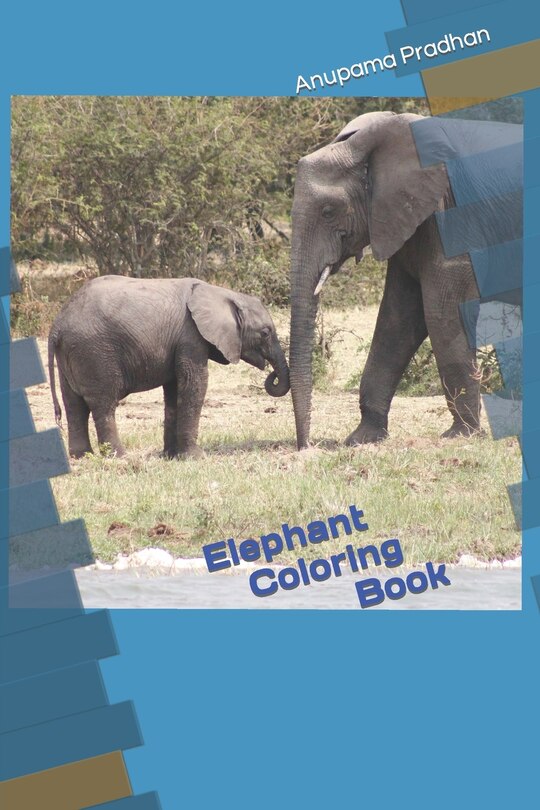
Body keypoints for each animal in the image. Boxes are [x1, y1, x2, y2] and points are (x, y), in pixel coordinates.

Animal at [48, 276, 290, 458]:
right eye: (265, 333)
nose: (272, 375)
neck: (221, 294)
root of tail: (57, 325)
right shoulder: (190, 337)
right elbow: (195, 383)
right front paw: (195, 457)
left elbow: (174, 391)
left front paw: (171, 456)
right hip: (95, 352)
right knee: (103, 404)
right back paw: (120, 457)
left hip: (72, 354)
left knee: (74, 405)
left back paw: (82, 456)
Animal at [289, 111, 522, 449]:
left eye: (328, 211)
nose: (306, 446)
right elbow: (397, 320)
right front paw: (362, 439)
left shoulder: (450, 216)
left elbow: (441, 315)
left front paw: (461, 435)